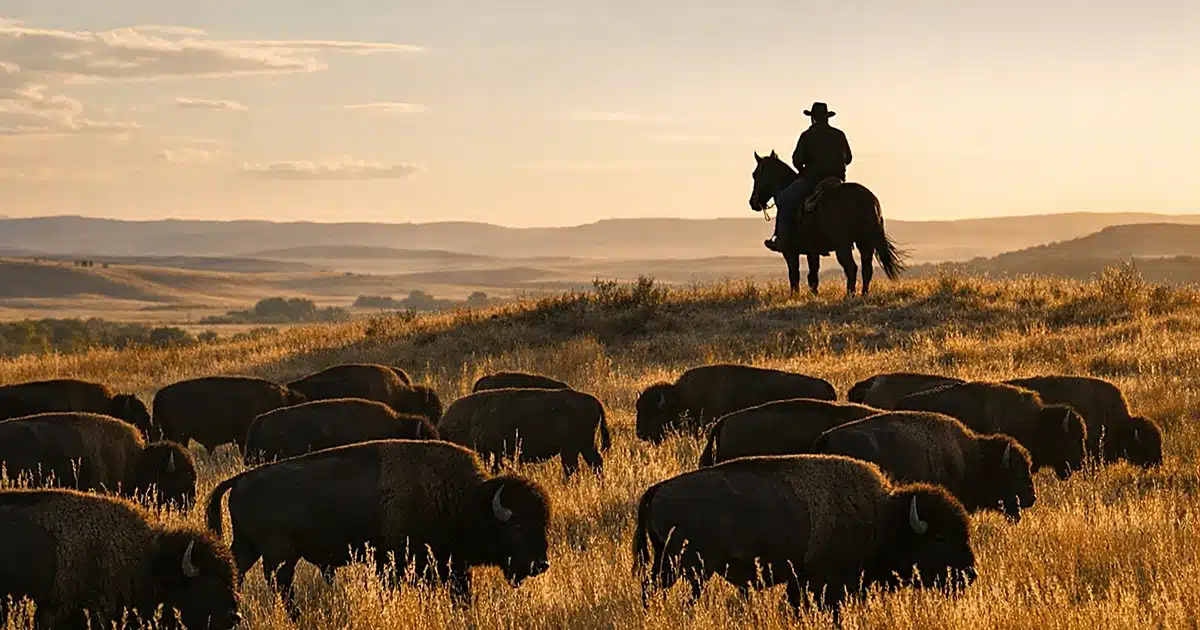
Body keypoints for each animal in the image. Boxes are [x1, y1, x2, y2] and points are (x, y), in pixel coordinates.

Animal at [205, 439, 551, 617]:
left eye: (542, 524)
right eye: (517, 526)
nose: (541, 564)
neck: (460, 500)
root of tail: (242, 479)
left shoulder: (451, 565)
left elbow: (461, 592)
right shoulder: (398, 562)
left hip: (249, 546)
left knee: (238, 571)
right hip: (280, 554)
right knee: (281, 584)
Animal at [437, 387, 610, 477]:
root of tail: (594, 401)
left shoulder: (489, 452)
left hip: (572, 448)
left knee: (573, 468)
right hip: (584, 446)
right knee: (594, 463)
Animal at [633, 453, 976, 616]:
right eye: (941, 538)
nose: (970, 574)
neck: (882, 518)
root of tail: (658, 489)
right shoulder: (824, 583)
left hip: (672, 564)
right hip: (690, 567)